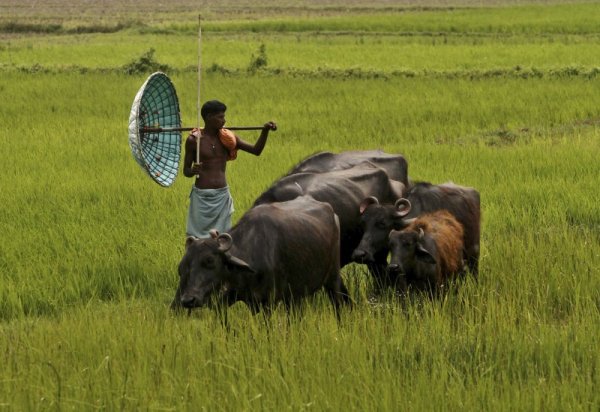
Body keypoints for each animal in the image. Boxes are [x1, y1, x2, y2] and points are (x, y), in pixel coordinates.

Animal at [171, 196, 350, 312]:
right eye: (182, 268)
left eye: (209, 260)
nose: (188, 300)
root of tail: (331, 211)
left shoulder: (267, 302)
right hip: (294, 295)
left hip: (333, 279)